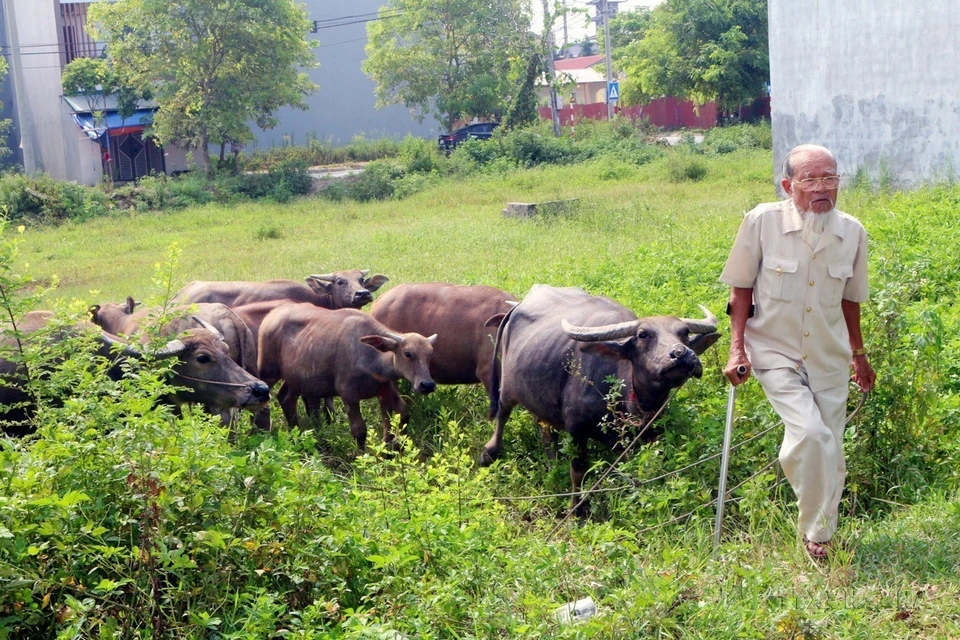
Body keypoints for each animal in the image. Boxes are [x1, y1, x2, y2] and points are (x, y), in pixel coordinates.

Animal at [255, 304, 436, 450]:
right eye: (408, 353)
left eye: (429, 354)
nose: (427, 384)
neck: (370, 355)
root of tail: (271, 315)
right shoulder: (348, 393)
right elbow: (359, 431)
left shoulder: (385, 388)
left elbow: (401, 416)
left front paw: (390, 449)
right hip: (268, 371)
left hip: (296, 378)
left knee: (285, 397)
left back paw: (296, 433)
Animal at [484, 284, 716, 516]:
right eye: (643, 334)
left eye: (684, 333)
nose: (681, 354)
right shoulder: (577, 430)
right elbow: (578, 471)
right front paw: (576, 509)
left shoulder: (645, 436)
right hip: (507, 387)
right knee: (503, 413)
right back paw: (489, 452)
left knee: (544, 429)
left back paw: (552, 464)